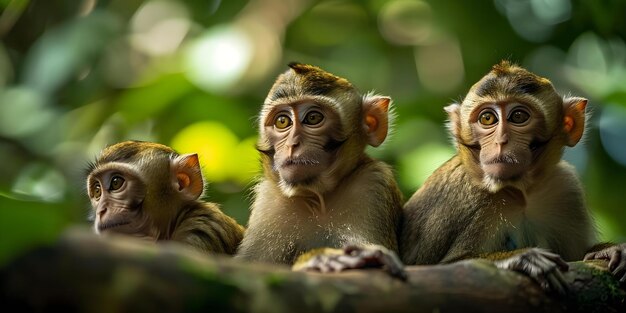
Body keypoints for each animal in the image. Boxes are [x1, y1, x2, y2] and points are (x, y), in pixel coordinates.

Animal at [234, 62, 404, 276]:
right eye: (282, 121)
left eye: (313, 118)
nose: (292, 144)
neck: (317, 199)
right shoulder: (269, 202)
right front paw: (318, 258)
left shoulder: (373, 184)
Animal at [400, 61, 624, 292]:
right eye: (487, 118)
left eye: (518, 116)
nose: (501, 141)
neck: (519, 192)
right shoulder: (473, 200)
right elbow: (449, 267)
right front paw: (521, 258)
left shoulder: (566, 187)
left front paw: (608, 250)